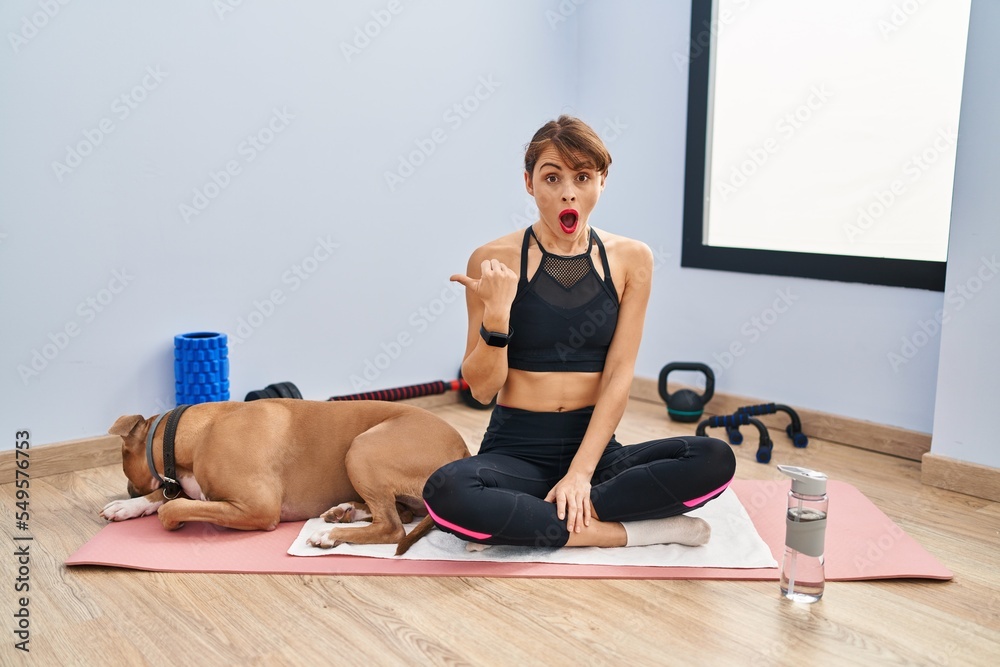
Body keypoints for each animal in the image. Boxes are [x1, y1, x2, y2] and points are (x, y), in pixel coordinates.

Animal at [101, 400, 468, 556]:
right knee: (400, 515)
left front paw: (166, 513)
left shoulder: (257, 508)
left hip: (362, 449)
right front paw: (127, 506)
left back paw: (330, 534)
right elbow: (168, 496)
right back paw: (344, 512)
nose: (128, 490)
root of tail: (463, 450)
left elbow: (171, 508)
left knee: (393, 527)